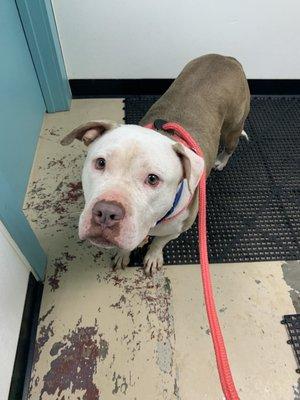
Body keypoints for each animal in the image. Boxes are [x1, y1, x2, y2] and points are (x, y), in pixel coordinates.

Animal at [61, 54, 251, 276]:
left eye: (153, 179)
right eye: (100, 163)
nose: (106, 212)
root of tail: (226, 58)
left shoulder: (179, 228)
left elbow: (159, 242)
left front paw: (152, 256)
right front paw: (123, 254)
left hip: (232, 128)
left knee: (230, 145)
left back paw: (221, 160)